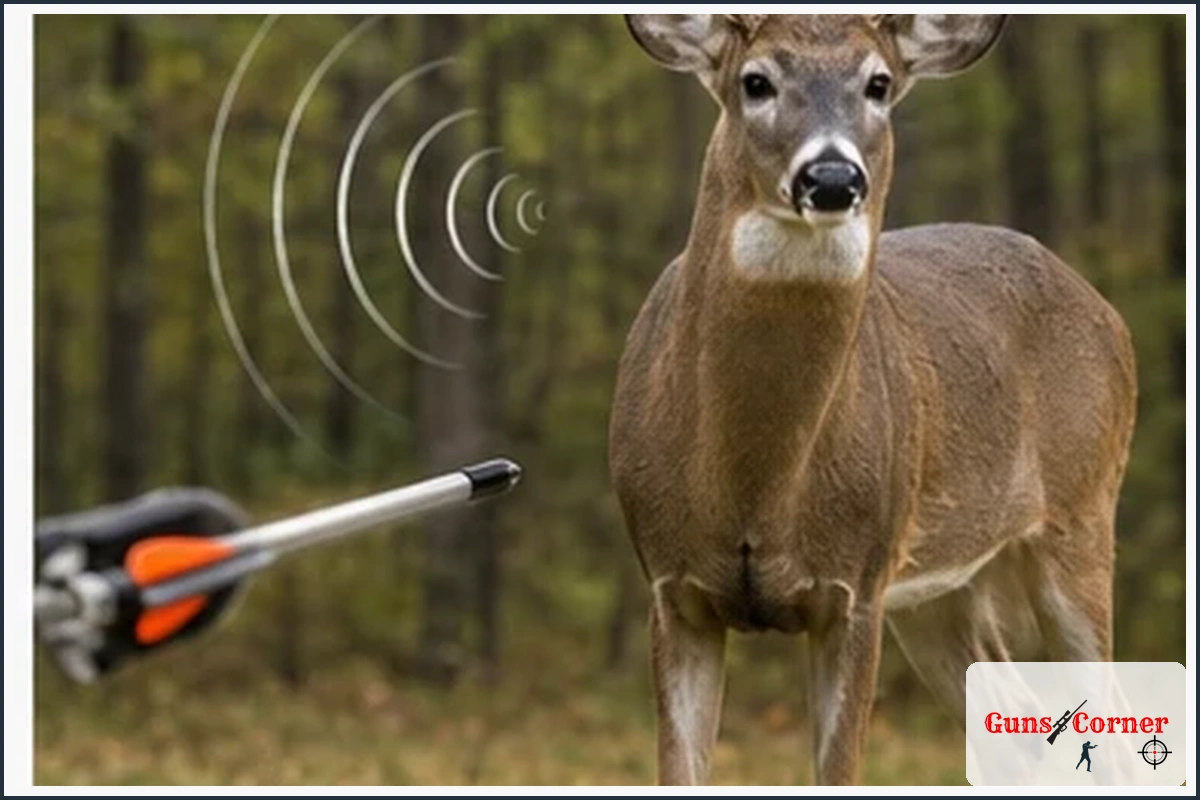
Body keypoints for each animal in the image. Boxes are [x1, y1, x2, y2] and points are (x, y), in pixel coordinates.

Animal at [609, 14, 1136, 786]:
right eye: (756, 81)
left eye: (878, 83)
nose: (832, 176)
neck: (754, 487)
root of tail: (1107, 312)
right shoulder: (673, 592)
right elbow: (678, 771)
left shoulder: (854, 586)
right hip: (941, 591)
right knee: (1017, 732)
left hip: (1082, 517)